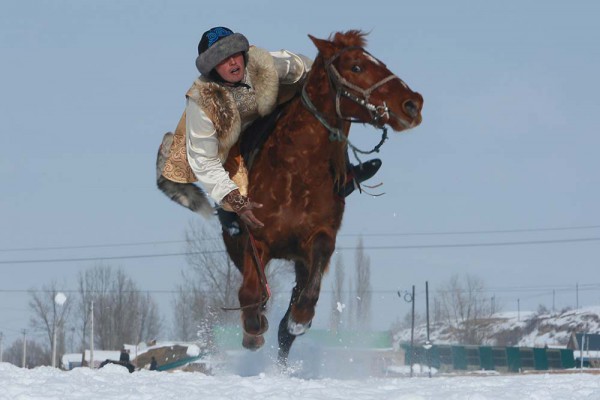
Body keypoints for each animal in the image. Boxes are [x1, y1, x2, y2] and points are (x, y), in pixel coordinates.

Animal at [219, 29, 422, 364]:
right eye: (356, 67)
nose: (413, 104)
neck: (296, 172)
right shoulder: (254, 240)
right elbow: (250, 293)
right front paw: (253, 331)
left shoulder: (319, 239)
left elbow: (304, 299)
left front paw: (299, 319)